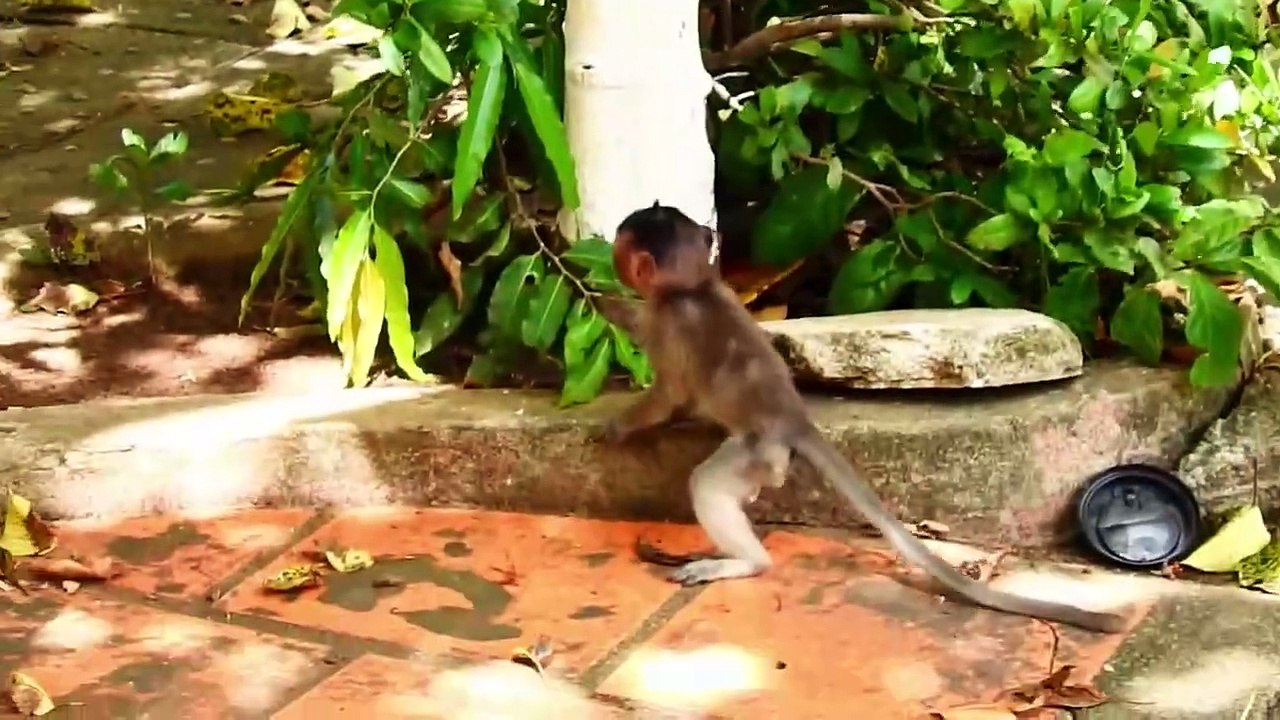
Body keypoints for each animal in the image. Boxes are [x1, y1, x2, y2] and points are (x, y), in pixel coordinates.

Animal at [594, 202, 1130, 634]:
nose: (611, 252)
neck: (698, 287)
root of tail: (796, 421)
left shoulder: (667, 324)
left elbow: (670, 394)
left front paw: (619, 419)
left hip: (759, 454)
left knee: (708, 486)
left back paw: (746, 563)